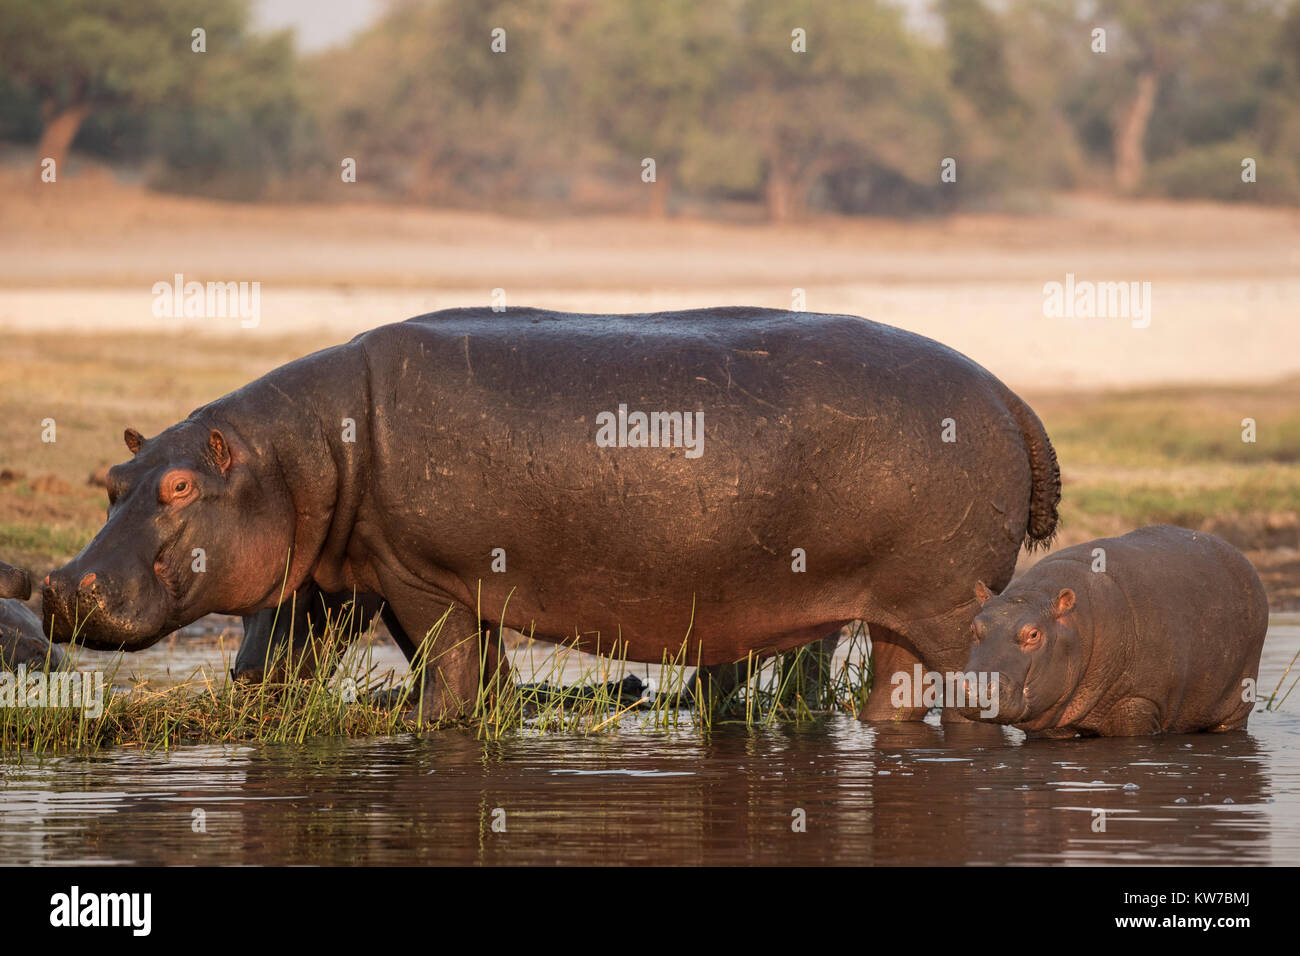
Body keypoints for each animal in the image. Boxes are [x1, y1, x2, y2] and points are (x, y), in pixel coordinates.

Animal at [44, 307, 1059, 721]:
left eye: (179, 489)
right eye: (113, 477)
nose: (61, 587)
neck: (303, 453)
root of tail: (1013, 397)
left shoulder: (421, 575)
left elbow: (450, 674)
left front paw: (419, 723)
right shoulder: (372, 574)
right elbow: (460, 673)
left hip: (948, 603)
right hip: (899, 613)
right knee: (895, 695)